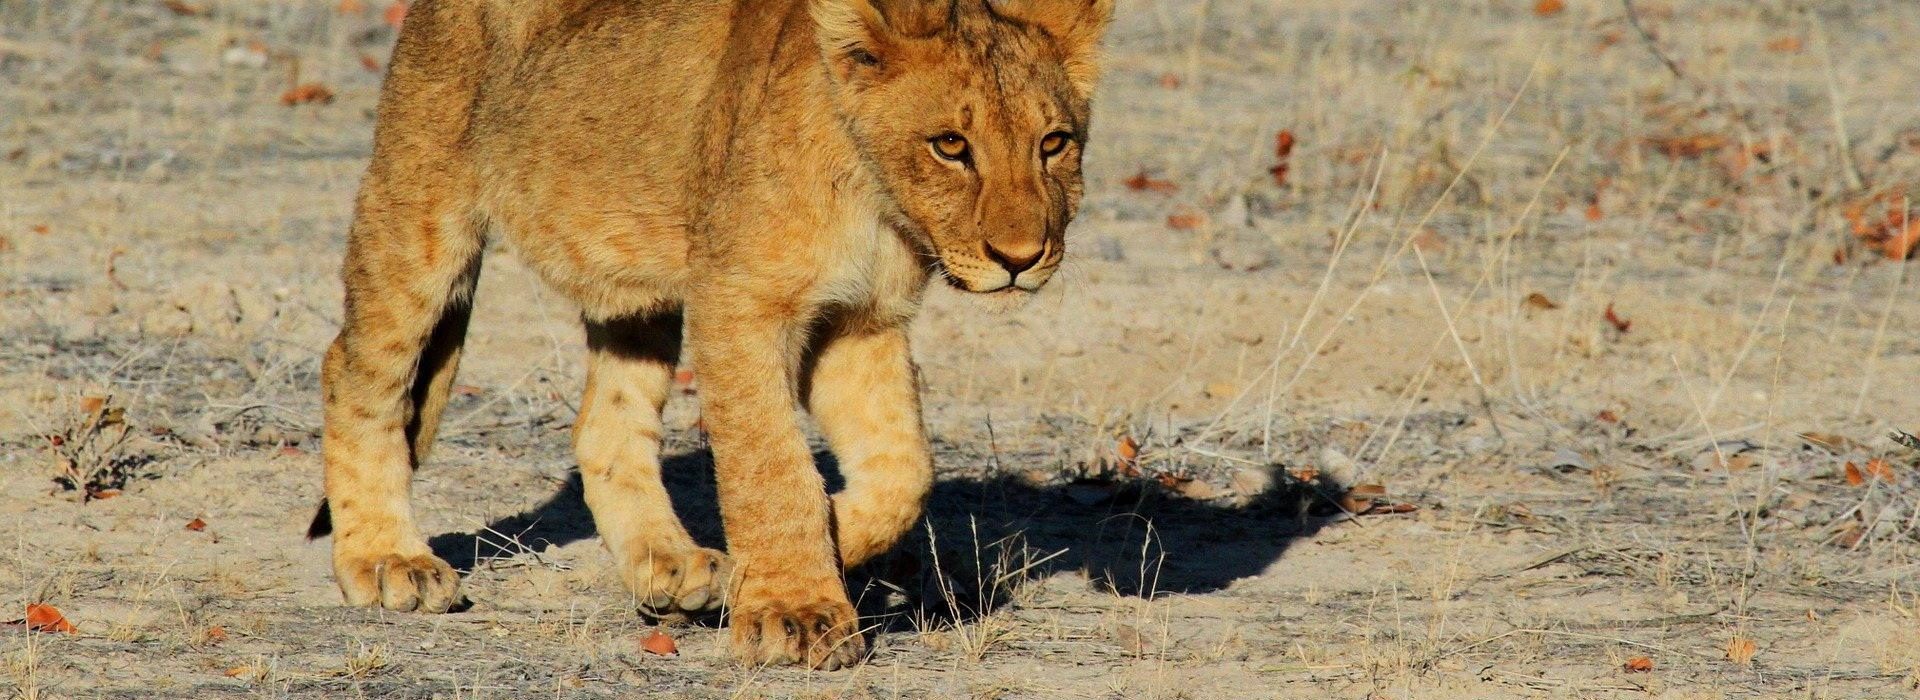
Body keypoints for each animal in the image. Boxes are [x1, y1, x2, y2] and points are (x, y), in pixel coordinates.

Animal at [311, 0, 1112, 669]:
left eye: (1053, 143)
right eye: (950, 144)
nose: (1022, 258)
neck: (876, 200)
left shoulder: (861, 319)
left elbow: (903, 470)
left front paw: (802, 549)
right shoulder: (739, 301)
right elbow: (771, 464)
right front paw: (795, 611)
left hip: (635, 285)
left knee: (605, 425)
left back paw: (672, 566)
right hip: (420, 206)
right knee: (355, 367)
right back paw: (385, 560)